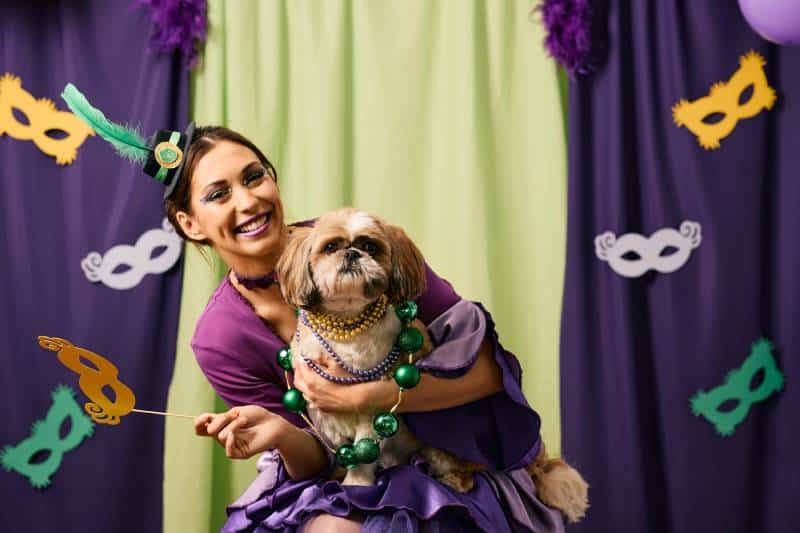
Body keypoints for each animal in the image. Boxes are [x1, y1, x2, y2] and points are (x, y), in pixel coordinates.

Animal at [276, 208, 588, 524]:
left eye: (370, 247)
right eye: (330, 247)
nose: (351, 253)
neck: (347, 325)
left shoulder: (368, 410)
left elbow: (363, 453)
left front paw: (356, 484)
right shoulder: (325, 414)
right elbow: (342, 448)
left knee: (467, 471)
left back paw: (452, 481)